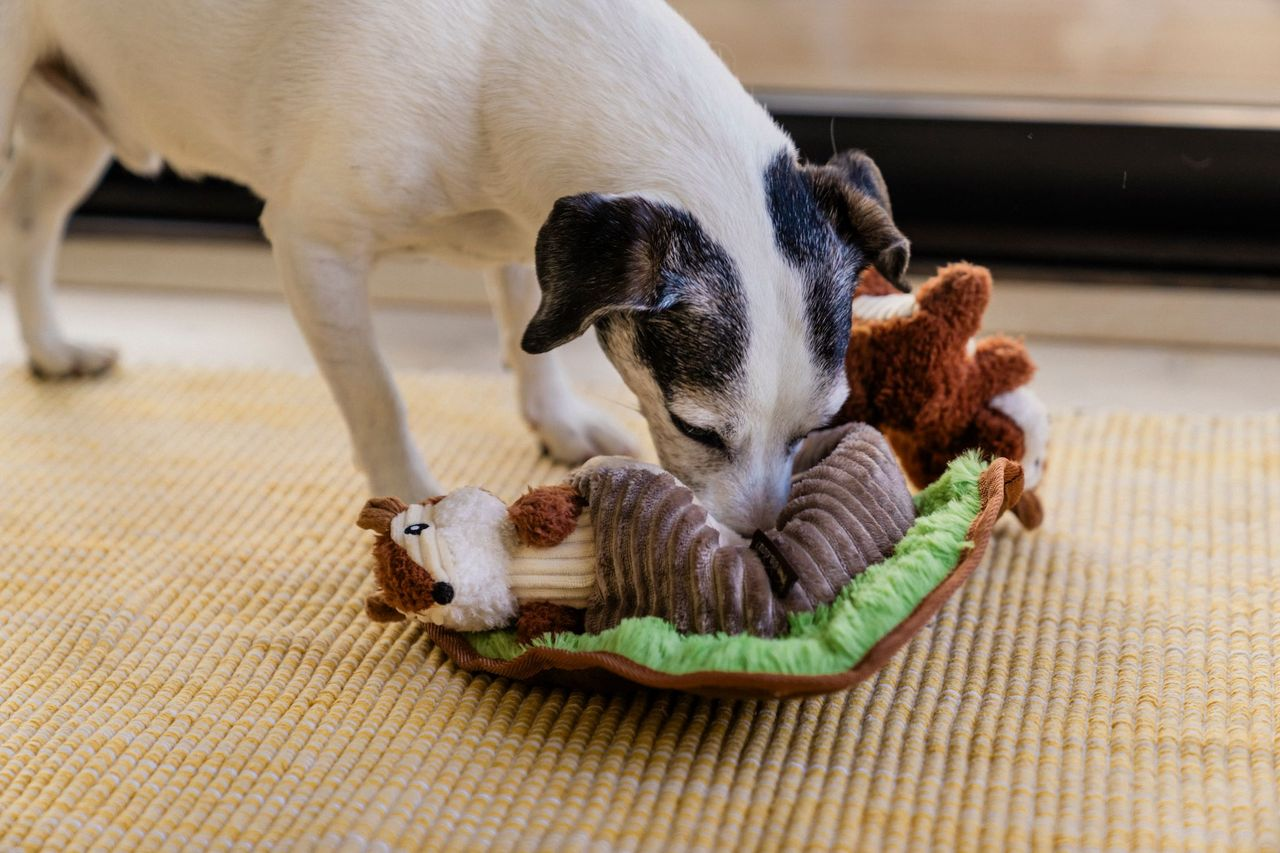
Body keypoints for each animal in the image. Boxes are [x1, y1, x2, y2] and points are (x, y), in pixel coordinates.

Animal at [0, 0, 906, 532]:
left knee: (26, 229)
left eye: (820, 424)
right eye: (697, 430)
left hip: (67, 139)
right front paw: (410, 493)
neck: (504, 57)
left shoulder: (530, 237)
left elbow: (528, 338)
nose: (759, 532)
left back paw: (51, 347)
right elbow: (378, 395)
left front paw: (556, 420)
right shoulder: (315, 247)